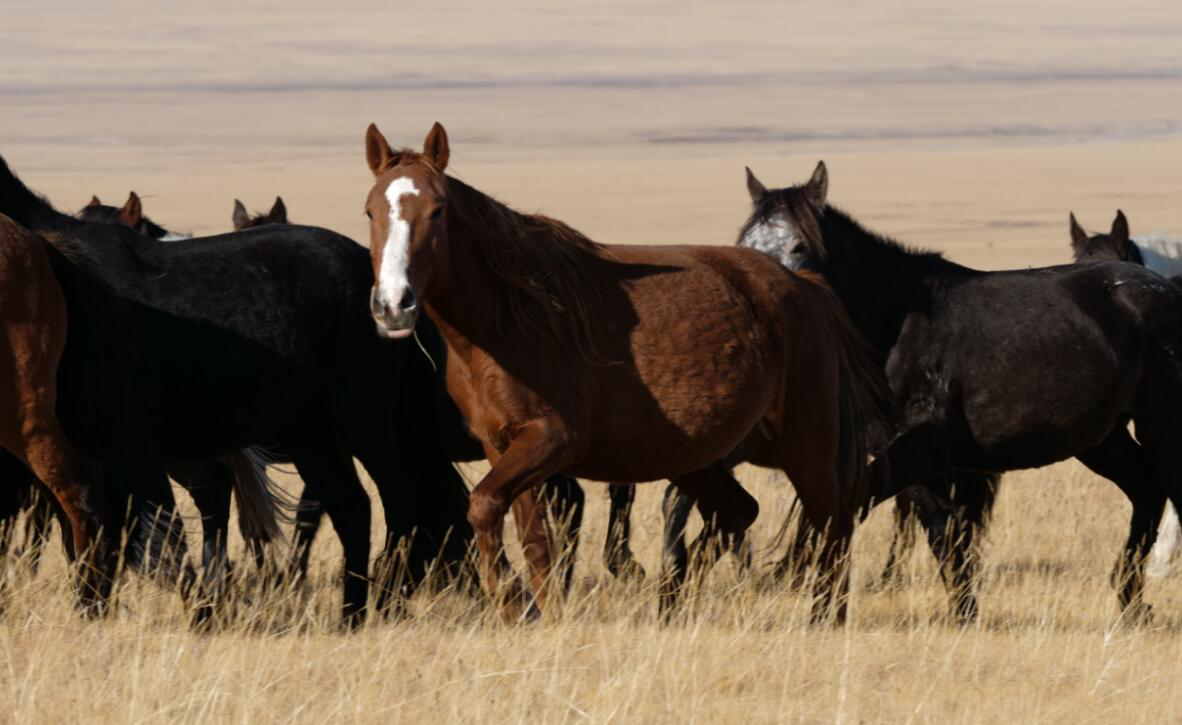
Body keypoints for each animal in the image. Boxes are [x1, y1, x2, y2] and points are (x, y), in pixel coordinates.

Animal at [0, 156, 476, 626]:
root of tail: (388, 292)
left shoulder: (132, 449)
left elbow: (152, 530)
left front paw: (196, 608)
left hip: (365, 422)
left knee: (402, 505)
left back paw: (382, 606)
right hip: (312, 435)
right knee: (355, 509)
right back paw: (351, 616)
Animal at [362, 122, 889, 622]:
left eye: (438, 211)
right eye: (370, 211)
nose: (393, 305)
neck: (510, 319)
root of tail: (805, 287)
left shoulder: (555, 440)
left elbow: (485, 506)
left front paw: (514, 601)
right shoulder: (501, 444)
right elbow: (532, 538)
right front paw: (538, 612)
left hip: (806, 445)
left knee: (832, 526)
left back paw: (821, 620)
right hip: (697, 457)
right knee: (739, 512)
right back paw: (674, 600)